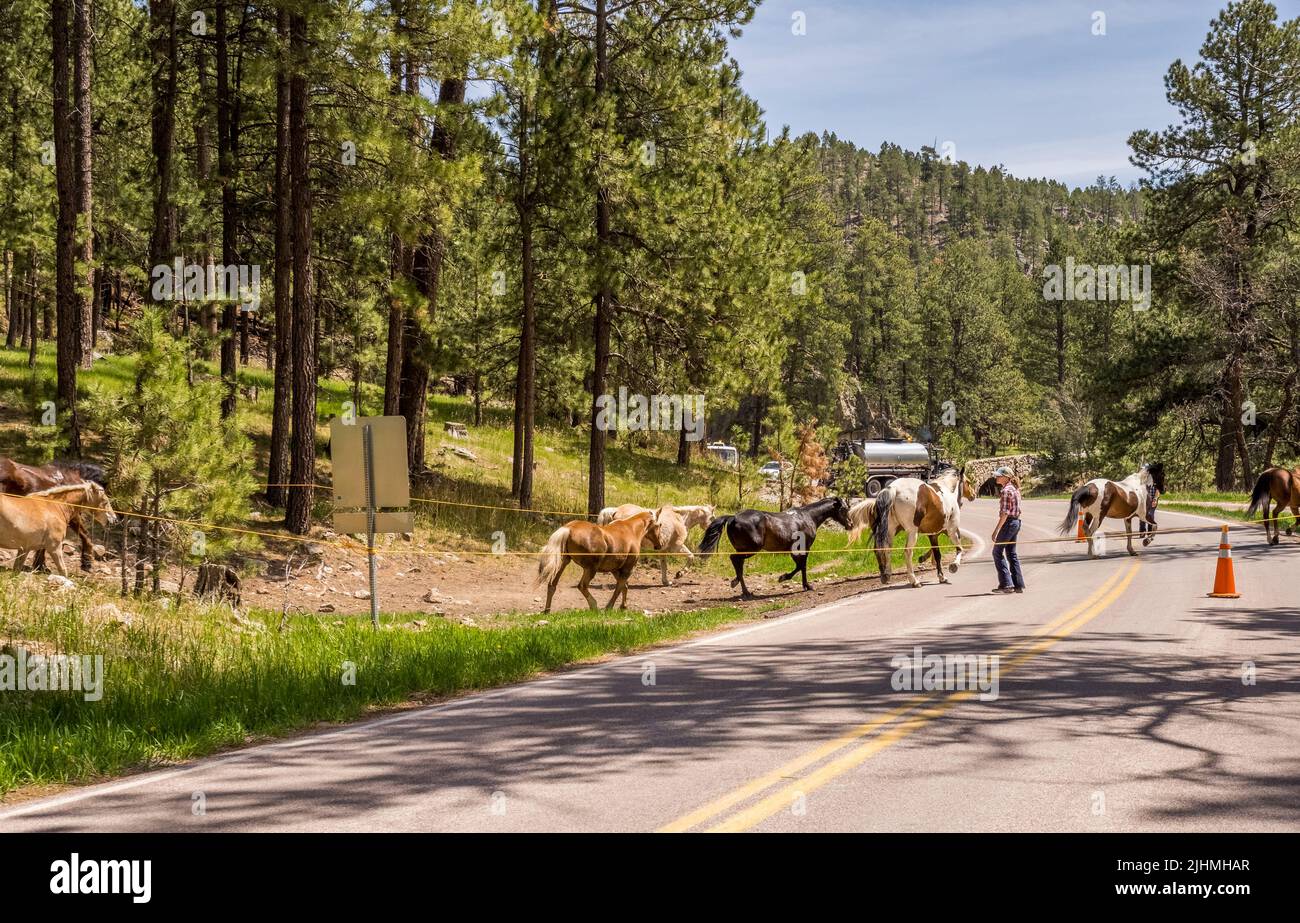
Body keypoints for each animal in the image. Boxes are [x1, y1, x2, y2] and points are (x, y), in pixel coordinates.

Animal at [535, 512, 665, 613]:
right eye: (659, 525)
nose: (660, 544)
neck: (631, 530)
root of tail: (568, 528)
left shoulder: (615, 570)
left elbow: (624, 586)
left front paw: (623, 606)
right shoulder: (628, 568)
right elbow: (619, 587)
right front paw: (609, 607)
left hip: (563, 563)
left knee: (552, 585)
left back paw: (547, 611)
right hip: (590, 569)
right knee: (582, 586)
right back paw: (594, 606)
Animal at [702, 499, 852, 600]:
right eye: (844, 509)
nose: (850, 524)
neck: (808, 517)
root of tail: (733, 517)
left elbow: (800, 566)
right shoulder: (804, 548)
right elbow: (802, 566)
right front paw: (796, 582)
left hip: (744, 549)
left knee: (738, 563)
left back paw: (743, 589)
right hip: (752, 549)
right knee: (734, 559)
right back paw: (742, 588)